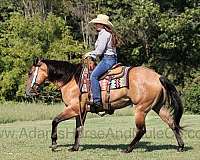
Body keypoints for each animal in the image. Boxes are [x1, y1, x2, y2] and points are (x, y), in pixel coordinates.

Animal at [25, 57, 185, 152]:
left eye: (30, 72)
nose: (28, 91)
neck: (71, 79)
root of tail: (157, 76)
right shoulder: (81, 111)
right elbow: (78, 129)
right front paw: (75, 148)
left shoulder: (73, 108)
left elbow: (55, 120)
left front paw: (54, 144)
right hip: (158, 107)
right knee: (172, 124)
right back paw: (181, 147)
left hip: (141, 109)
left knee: (142, 130)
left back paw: (127, 149)